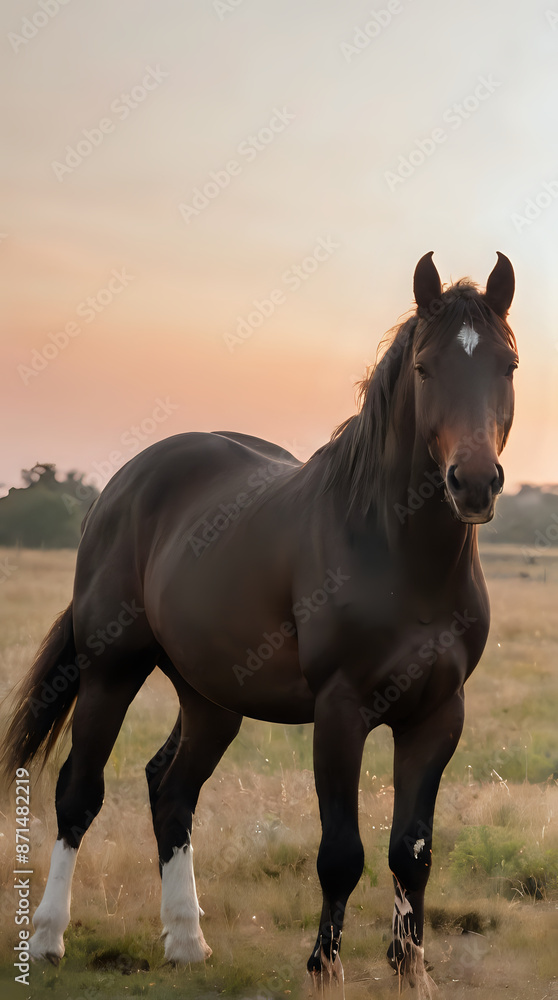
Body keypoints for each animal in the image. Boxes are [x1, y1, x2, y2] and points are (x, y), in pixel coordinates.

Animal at [2, 251, 518, 994]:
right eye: (425, 368)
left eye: (507, 365)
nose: (473, 482)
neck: (396, 554)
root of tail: (125, 482)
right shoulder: (340, 711)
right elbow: (342, 853)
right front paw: (324, 972)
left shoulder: (437, 716)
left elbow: (411, 853)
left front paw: (411, 974)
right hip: (111, 671)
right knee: (79, 792)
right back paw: (47, 939)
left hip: (213, 696)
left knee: (172, 790)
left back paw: (187, 942)